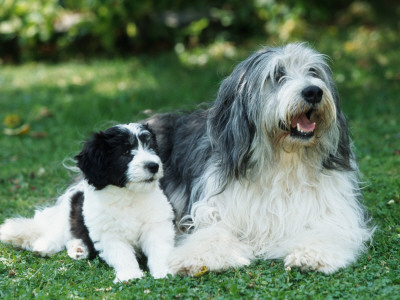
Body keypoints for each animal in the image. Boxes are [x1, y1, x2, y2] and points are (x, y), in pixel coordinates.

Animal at [0, 123, 175, 282]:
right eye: (125, 152)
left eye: (151, 148)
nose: (153, 166)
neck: (128, 195)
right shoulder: (108, 233)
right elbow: (122, 254)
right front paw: (130, 274)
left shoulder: (157, 225)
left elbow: (160, 249)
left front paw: (163, 271)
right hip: (69, 211)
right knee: (58, 232)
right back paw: (45, 245)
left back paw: (78, 249)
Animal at [148, 43, 374, 276]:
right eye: (277, 74)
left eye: (313, 71)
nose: (313, 92)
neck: (283, 161)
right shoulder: (216, 209)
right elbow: (213, 233)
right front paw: (194, 257)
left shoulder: (332, 213)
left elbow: (326, 231)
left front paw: (310, 255)